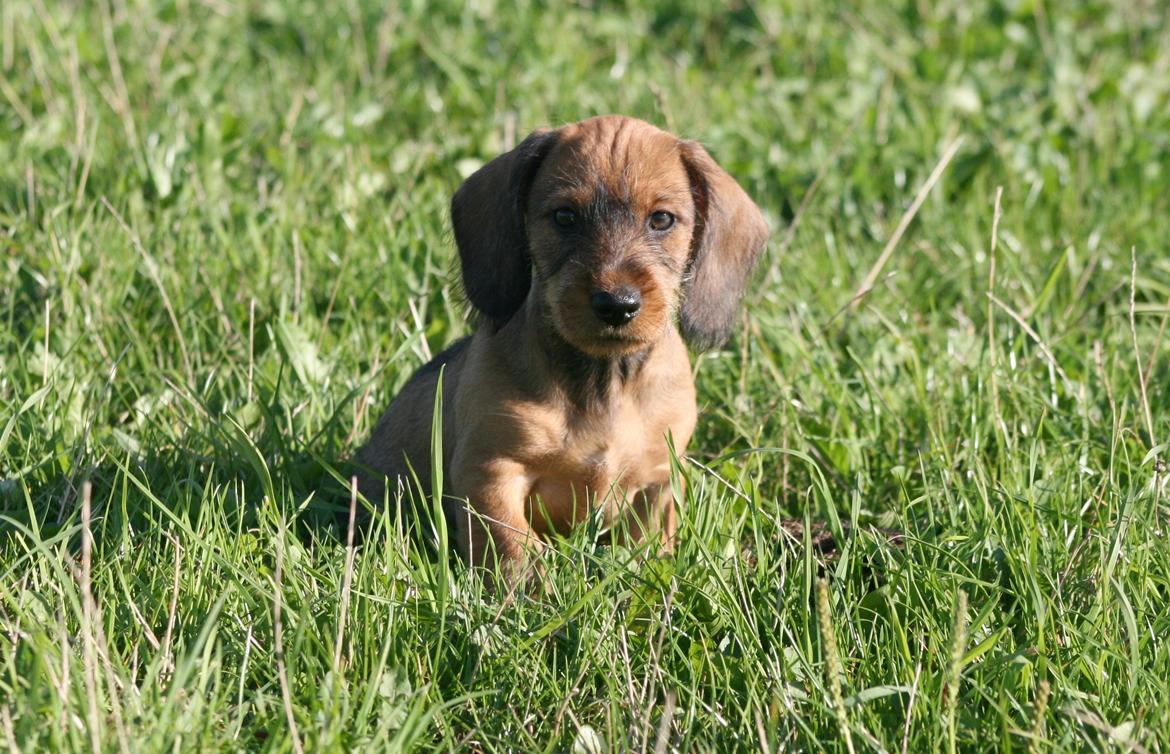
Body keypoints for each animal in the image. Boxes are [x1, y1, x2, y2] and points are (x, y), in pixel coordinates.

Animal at [353, 114, 767, 583]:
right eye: (565, 216)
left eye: (662, 219)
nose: (616, 305)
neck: (603, 384)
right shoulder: (490, 471)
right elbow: (511, 545)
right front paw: (525, 594)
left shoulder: (659, 480)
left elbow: (645, 545)